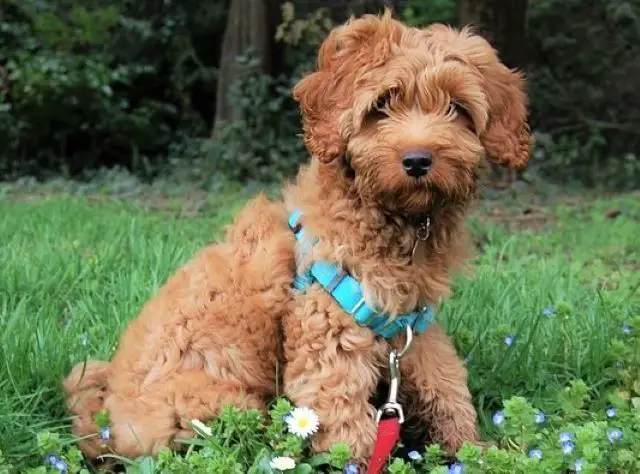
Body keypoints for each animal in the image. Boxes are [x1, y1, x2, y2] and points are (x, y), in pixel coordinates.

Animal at [63, 9, 528, 464]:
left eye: (457, 107)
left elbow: (445, 382)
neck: (392, 218)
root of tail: (107, 424)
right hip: (221, 405)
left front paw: (474, 450)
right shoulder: (331, 329)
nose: (417, 161)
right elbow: (345, 420)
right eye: (381, 105)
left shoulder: (413, 326)